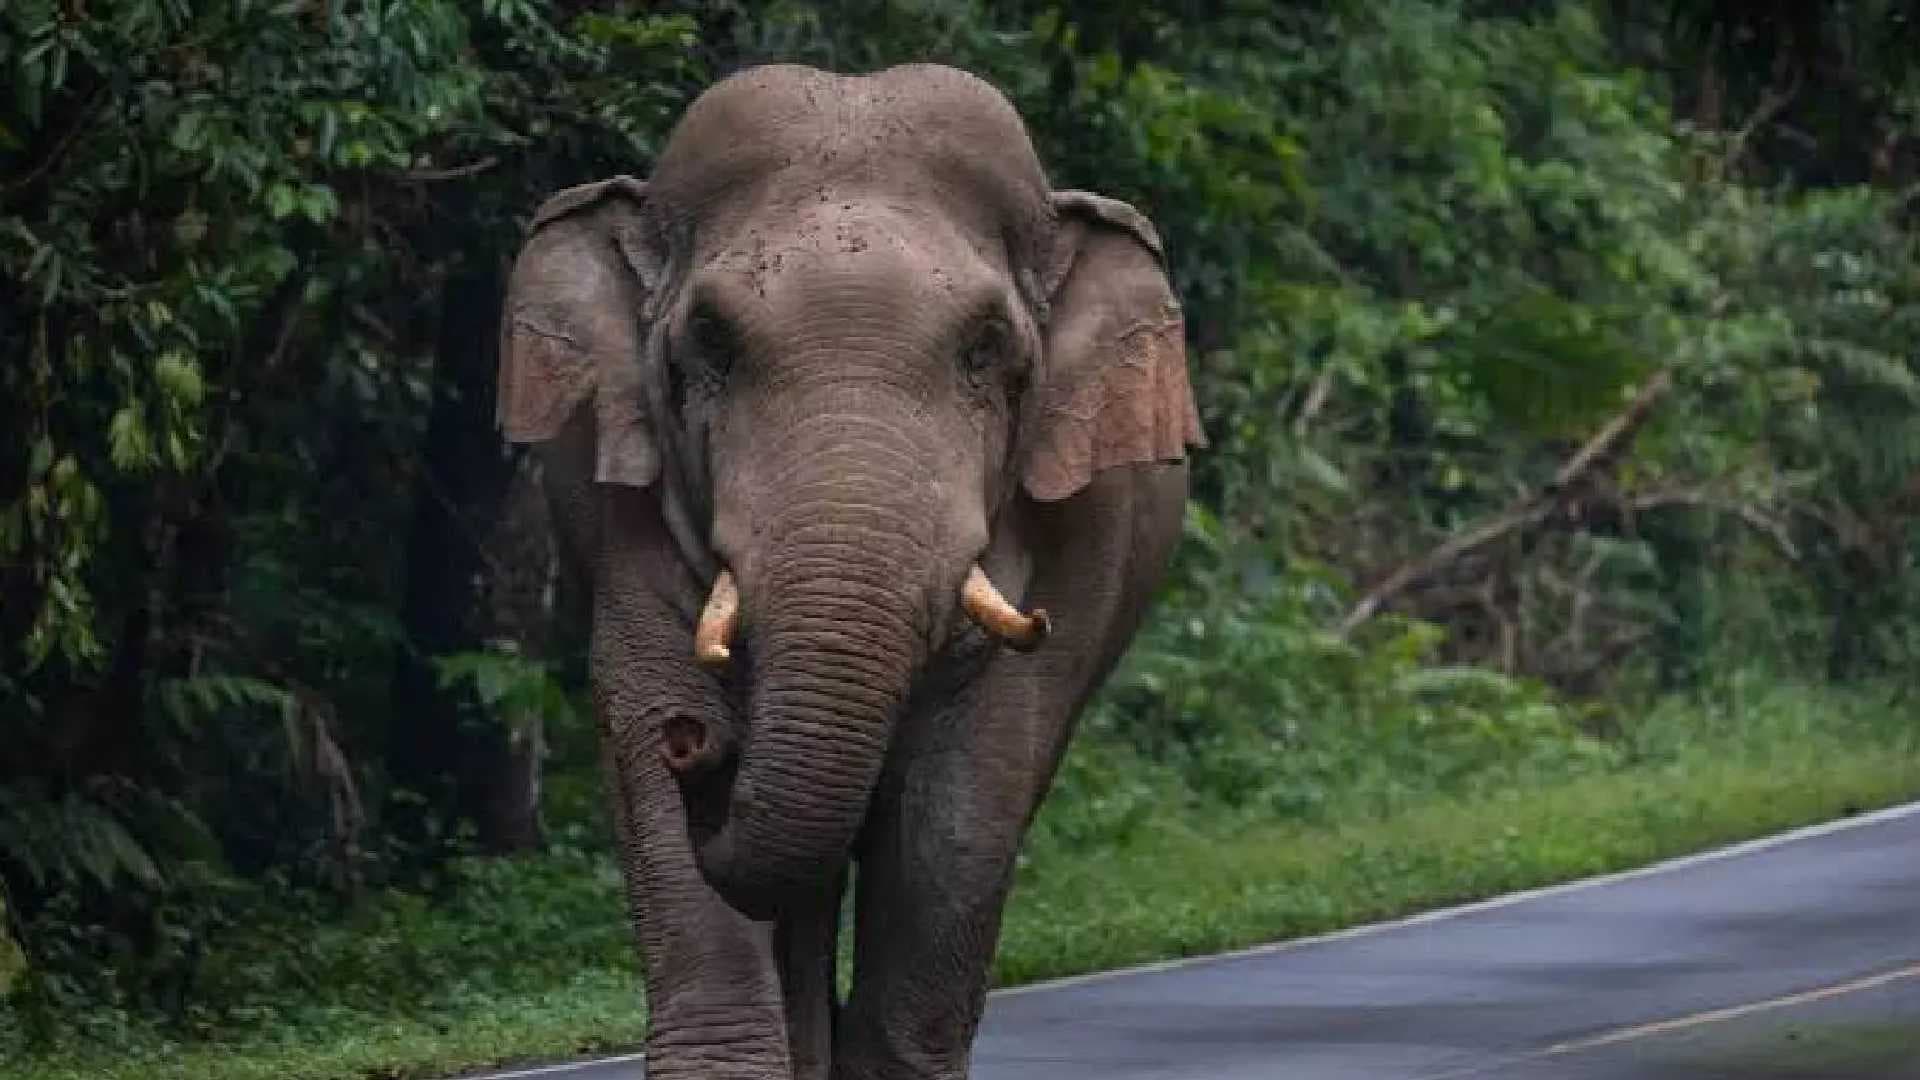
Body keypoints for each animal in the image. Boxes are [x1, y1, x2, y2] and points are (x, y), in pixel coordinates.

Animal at [494, 63, 1205, 1080]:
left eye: (987, 350)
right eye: (708, 346)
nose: (696, 746)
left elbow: (961, 804)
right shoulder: (619, 512)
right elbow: (646, 723)